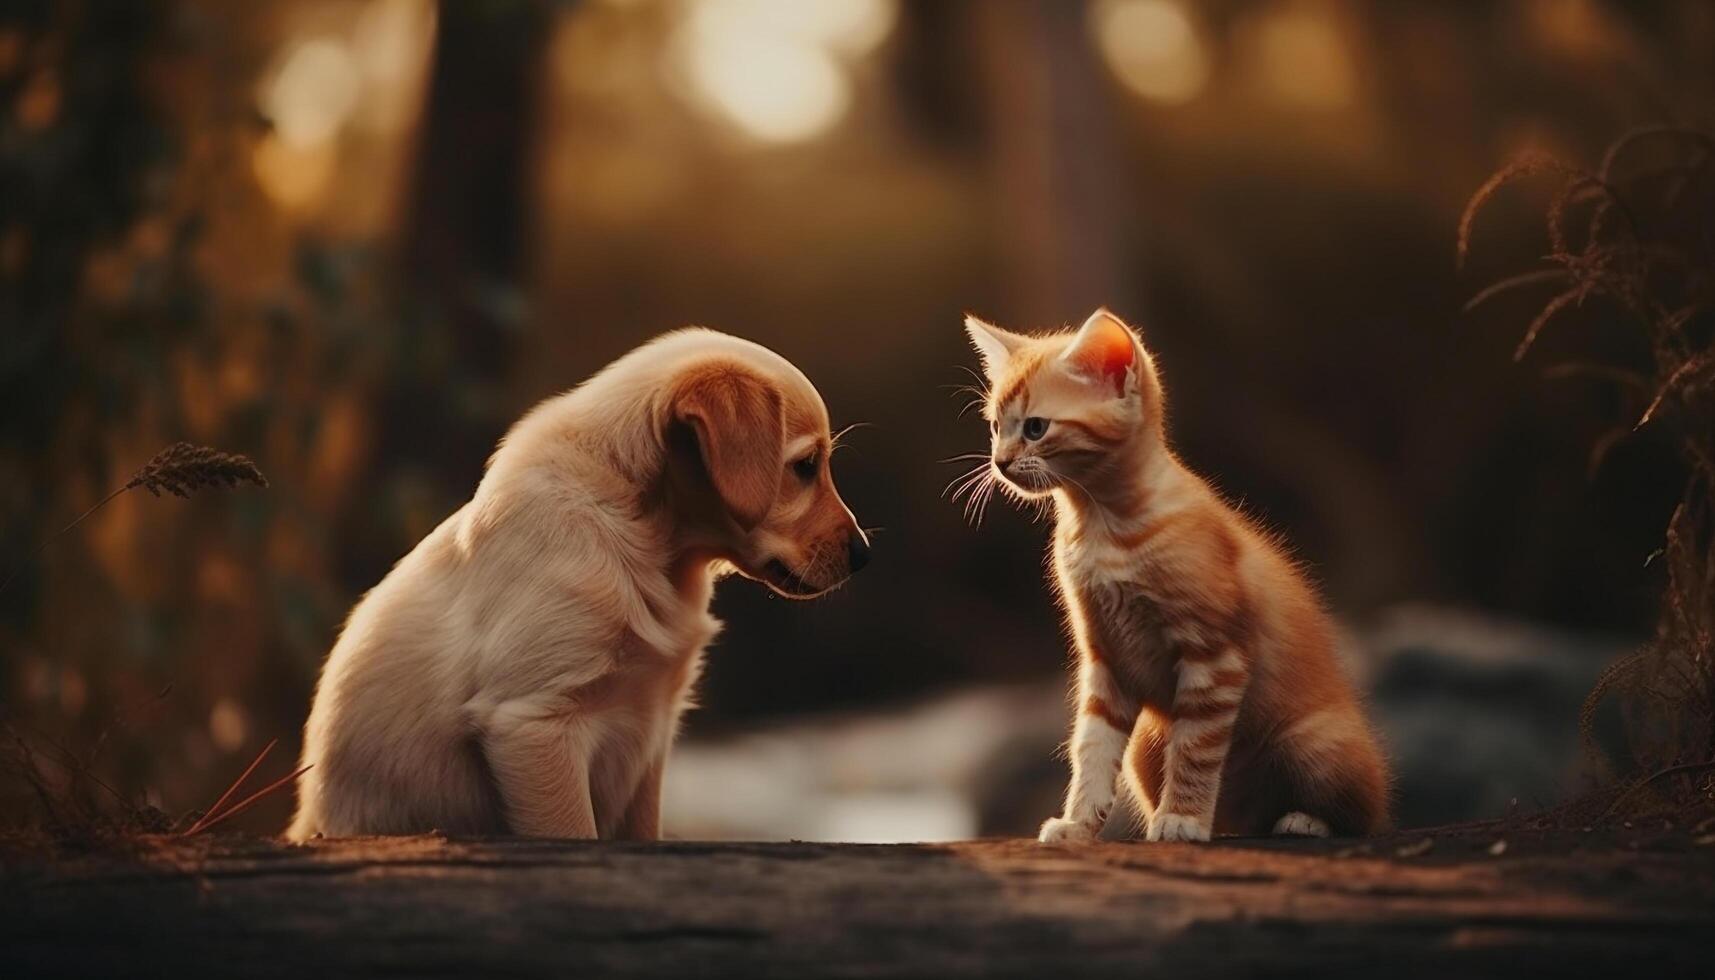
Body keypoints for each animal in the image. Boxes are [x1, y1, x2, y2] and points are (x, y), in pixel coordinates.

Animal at [289, 331, 871, 844]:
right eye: (805, 467)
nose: (865, 555)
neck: (643, 537)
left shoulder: (652, 732)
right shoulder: (534, 722)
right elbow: (574, 832)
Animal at [960, 308, 1385, 844]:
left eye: (1036, 428)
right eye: (996, 427)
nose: (999, 462)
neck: (1102, 526)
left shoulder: (1215, 656)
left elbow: (1195, 750)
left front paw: (1181, 817)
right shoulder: (1105, 660)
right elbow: (1092, 748)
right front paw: (1078, 823)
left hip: (1315, 741)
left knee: (1365, 815)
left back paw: (1301, 820)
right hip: (1147, 746)